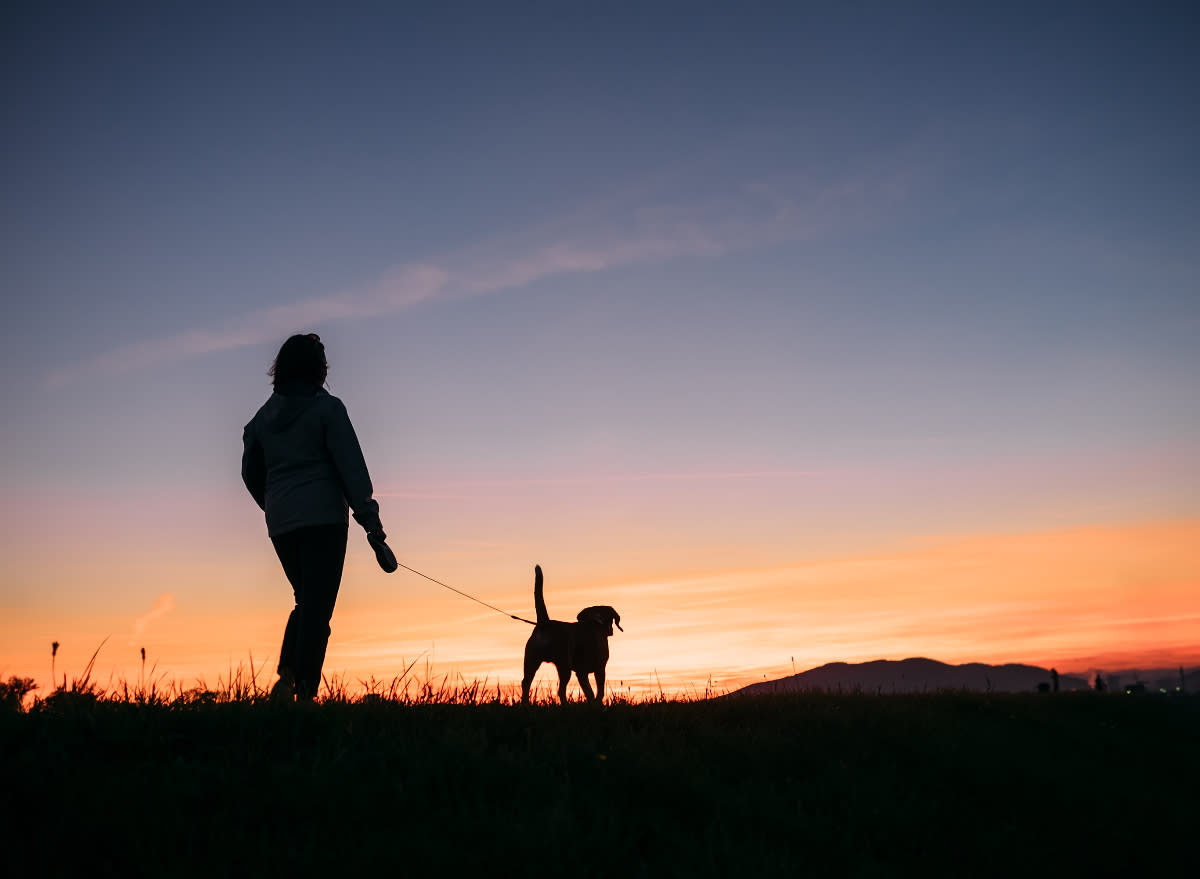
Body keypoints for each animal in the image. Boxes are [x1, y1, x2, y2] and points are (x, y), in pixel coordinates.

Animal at [520, 566, 624, 706]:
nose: (610, 631)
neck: (595, 622)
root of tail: (545, 623)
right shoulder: (599, 669)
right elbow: (599, 691)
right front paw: (597, 704)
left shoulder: (581, 673)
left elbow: (589, 692)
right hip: (564, 666)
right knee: (560, 690)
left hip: (531, 661)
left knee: (526, 683)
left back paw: (525, 704)